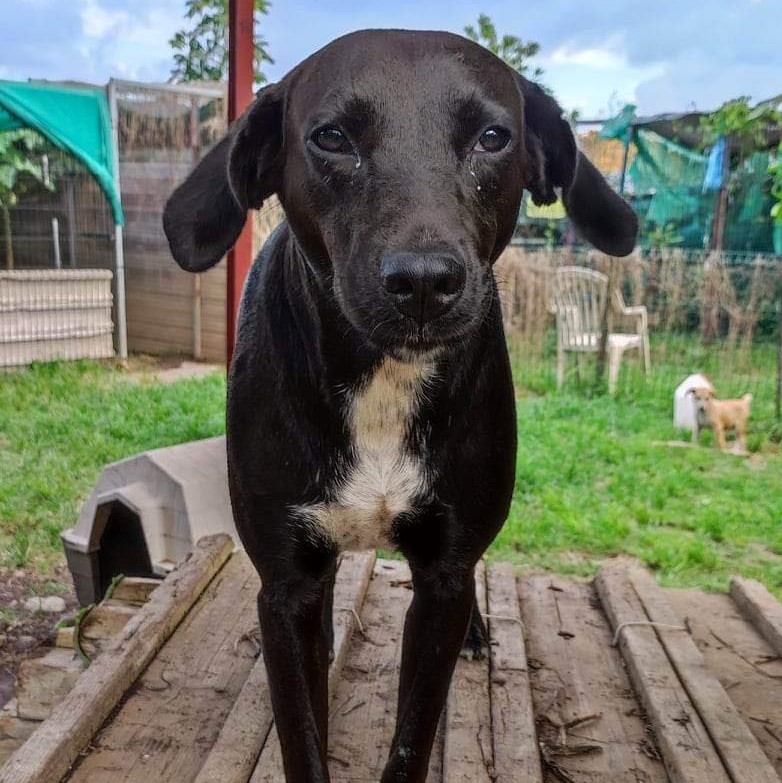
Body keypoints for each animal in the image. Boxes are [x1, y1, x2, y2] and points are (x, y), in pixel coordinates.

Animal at [164, 29, 636, 783]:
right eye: (330, 137)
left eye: (493, 137)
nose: (422, 283)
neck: (383, 379)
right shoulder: (286, 581)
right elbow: (303, 737)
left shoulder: (443, 576)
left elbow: (414, 731)